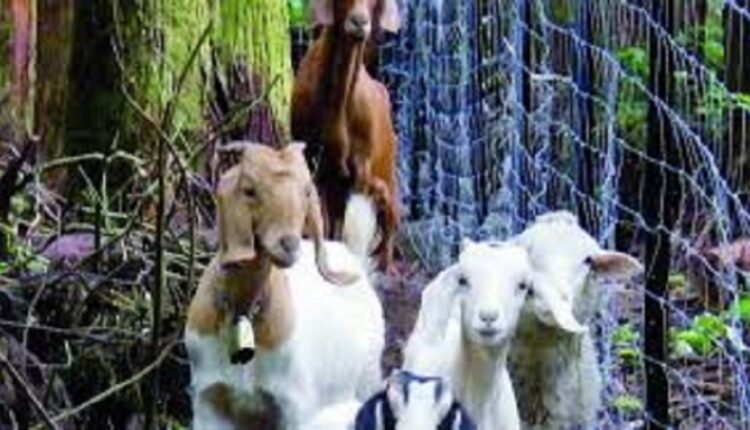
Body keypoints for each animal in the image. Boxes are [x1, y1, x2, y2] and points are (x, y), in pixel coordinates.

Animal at [184, 143, 385, 430]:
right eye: (249, 190)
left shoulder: (295, 408)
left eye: (306, 192)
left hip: (367, 380)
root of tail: (354, 257)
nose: (289, 245)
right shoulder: (209, 402)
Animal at [291, 0, 401, 271]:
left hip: (387, 172)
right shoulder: (315, 163)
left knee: (390, 219)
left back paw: (387, 266)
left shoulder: (362, 165)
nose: (360, 22)